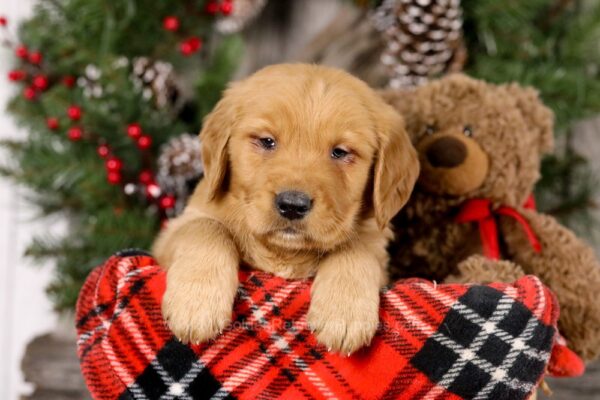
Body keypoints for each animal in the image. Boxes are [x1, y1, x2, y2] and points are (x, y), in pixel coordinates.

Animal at [152, 62, 420, 354]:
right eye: (267, 141)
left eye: (340, 152)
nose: (292, 205)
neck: (285, 253)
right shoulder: (173, 231)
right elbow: (206, 227)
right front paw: (196, 303)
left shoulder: (378, 251)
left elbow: (355, 246)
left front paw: (344, 313)